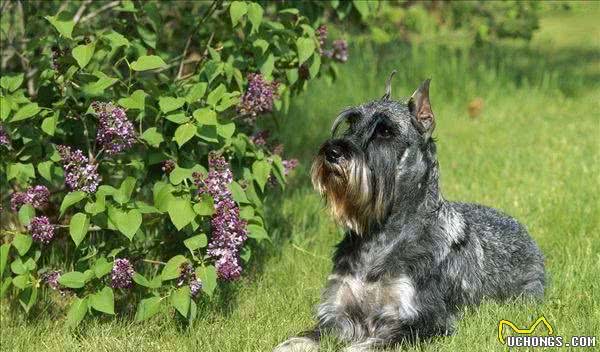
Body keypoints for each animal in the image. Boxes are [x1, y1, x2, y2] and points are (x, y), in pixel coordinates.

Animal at [274, 73, 548, 350]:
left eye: (385, 131)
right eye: (351, 123)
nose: (332, 152)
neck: (380, 236)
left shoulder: (422, 321)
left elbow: (369, 344)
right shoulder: (337, 313)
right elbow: (304, 337)